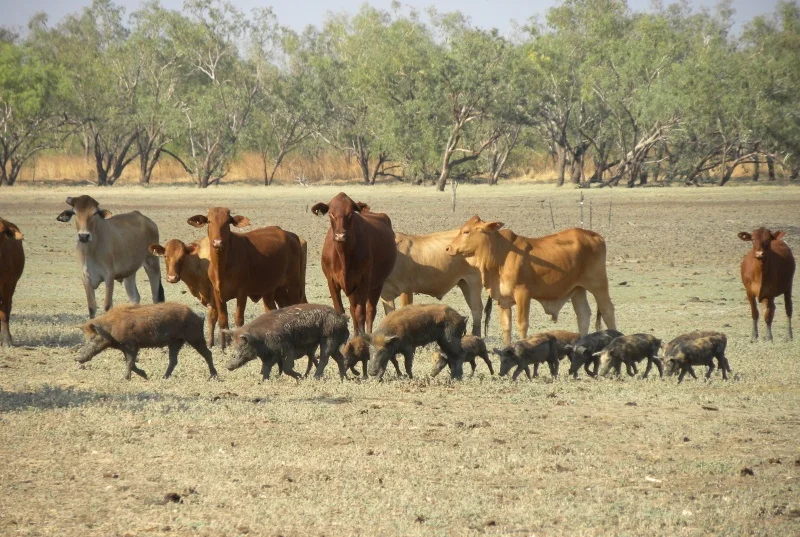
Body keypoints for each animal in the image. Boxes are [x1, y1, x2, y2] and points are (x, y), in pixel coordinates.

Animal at [187, 207, 307, 348]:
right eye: (209, 221)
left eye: (227, 222)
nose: (218, 242)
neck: (222, 267)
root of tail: (291, 235)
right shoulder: (217, 292)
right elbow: (222, 319)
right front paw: (224, 345)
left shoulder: (242, 292)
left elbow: (239, 318)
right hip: (275, 289)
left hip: (293, 284)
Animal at [312, 192, 396, 335]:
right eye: (331, 213)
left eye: (351, 213)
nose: (340, 236)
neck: (344, 256)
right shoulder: (332, 281)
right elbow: (342, 312)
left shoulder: (364, 281)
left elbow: (361, 313)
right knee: (352, 309)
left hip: (377, 284)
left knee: (370, 311)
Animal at [445, 216, 616, 346]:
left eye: (466, 231)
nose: (448, 248)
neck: (501, 255)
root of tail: (594, 235)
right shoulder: (503, 299)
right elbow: (506, 326)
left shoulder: (523, 294)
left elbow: (522, 324)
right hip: (578, 289)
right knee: (583, 314)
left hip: (598, 284)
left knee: (607, 310)